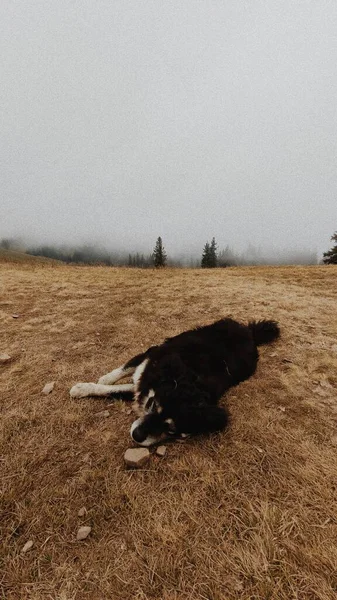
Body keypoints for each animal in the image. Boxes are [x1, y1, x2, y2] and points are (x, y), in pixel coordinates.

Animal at [70, 318, 278, 446]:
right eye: (152, 405)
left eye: (170, 429)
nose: (137, 436)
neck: (190, 376)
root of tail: (250, 332)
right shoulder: (150, 357)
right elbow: (122, 371)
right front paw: (88, 385)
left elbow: (114, 390)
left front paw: (83, 388)